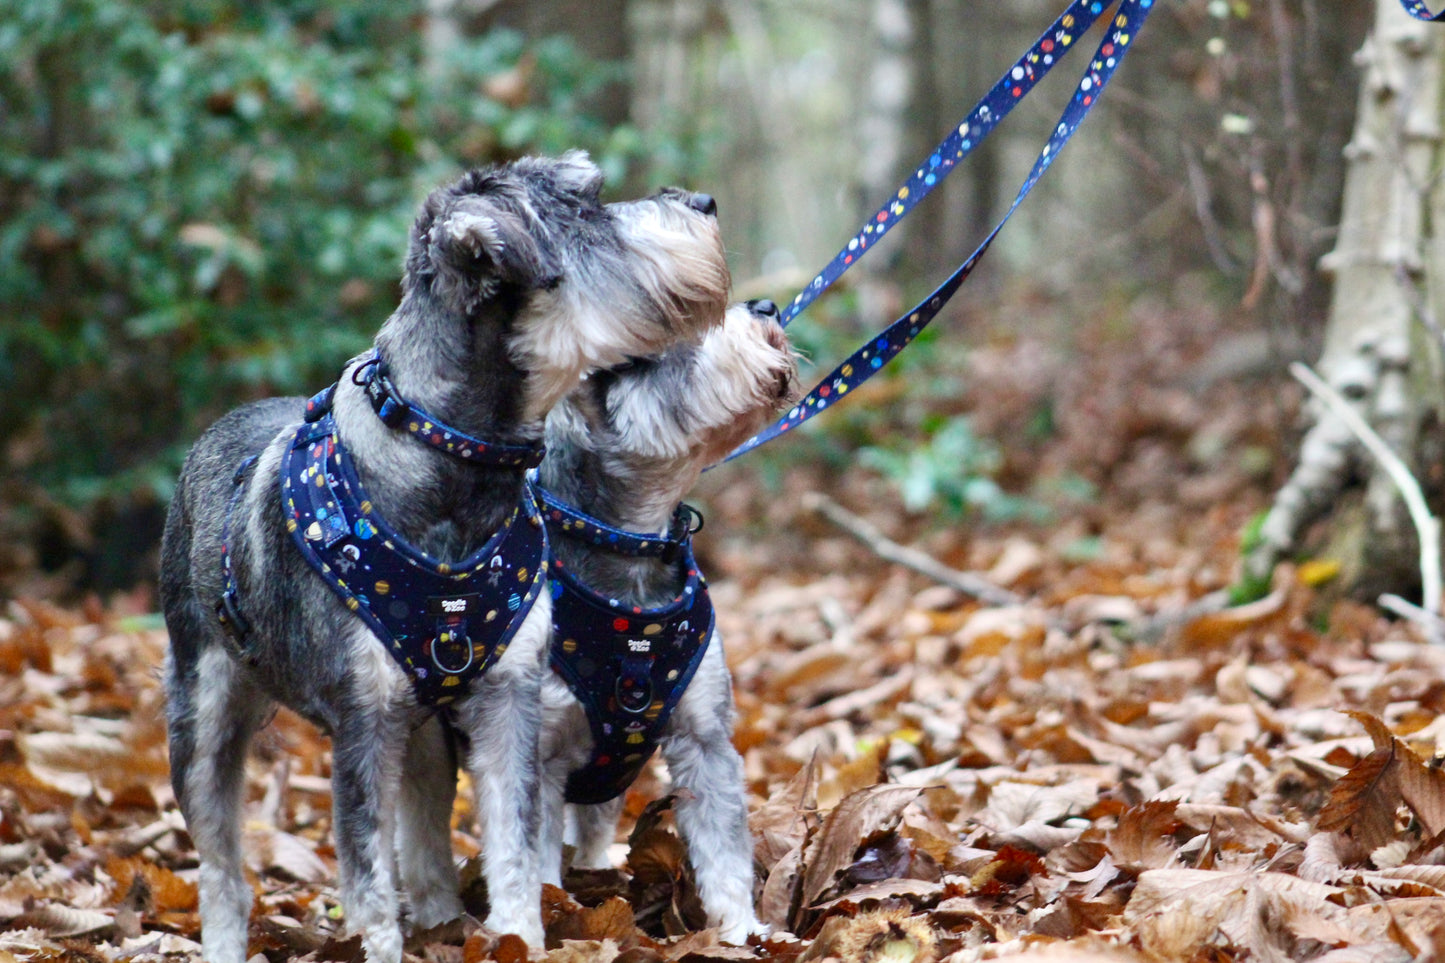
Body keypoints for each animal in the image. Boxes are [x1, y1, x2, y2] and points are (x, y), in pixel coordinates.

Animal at [155, 153, 734, 954]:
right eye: (585, 213)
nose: (705, 202)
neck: (454, 469)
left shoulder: (510, 704)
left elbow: (515, 846)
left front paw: (520, 937)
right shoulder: (362, 724)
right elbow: (368, 882)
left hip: (427, 732)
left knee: (425, 847)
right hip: (203, 716)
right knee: (221, 870)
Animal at [531, 297, 803, 936]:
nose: (766, 305)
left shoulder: (705, 740)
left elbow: (724, 852)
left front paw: (741, 931)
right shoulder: (539, 756)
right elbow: (532, 859)